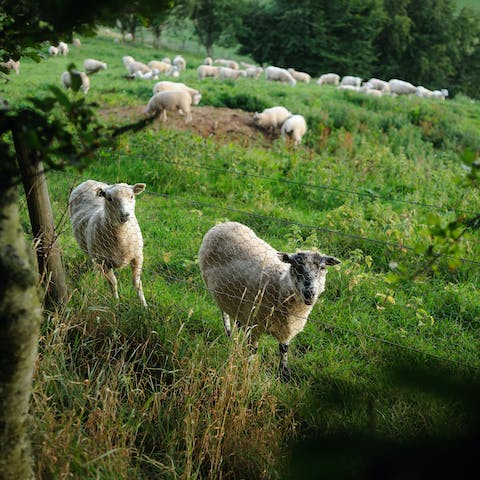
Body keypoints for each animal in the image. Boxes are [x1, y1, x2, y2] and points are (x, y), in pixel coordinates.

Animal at [67, 179, 146, 308]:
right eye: (109, 199)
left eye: (131, 196)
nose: (125, 215)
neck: (122, 235)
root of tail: (88, 181)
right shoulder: (104, 262)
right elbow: (113, 283)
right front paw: (116, 303)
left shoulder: (138, 257)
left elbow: (137, 283)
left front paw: (144, 305)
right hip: (94, 254)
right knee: (95, 265)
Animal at [199, 221, 342, 378]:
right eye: (296, 267)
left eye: (322, 268)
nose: (309, 293)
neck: (280, 286)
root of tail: (223, 224)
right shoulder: (255, 325)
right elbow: (253, 350)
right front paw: (250, 371)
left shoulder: (287, 329)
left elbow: (283, 351)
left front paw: (285, 374)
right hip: (218, 292)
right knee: (224, 313)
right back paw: (229, 333)